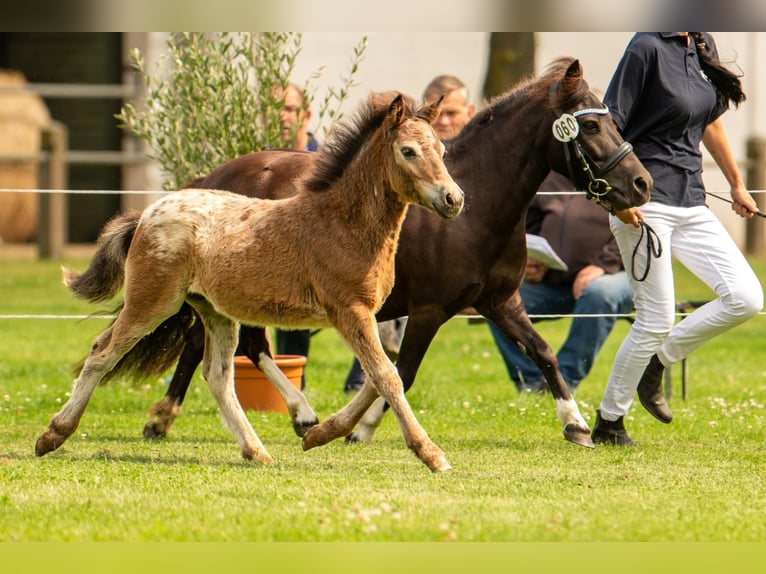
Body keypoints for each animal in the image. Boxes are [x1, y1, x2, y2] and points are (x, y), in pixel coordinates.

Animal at [36, 93, 464, 472]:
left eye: (442, 149)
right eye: (408, 151)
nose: (453, 198)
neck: (343, 222)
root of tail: (147, 213)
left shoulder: (369, 315)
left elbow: (382, 373)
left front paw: (319, 433)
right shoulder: (350, 312)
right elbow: (387, 376)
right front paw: (431, 454)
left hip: (215, 312)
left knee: (218, 375)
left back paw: (255, 450)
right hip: (153, 302)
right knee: (102, 351)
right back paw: (53, 435)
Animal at [150, 57, 656, 454]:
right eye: (590, 125)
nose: (641, 184)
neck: (476, 208)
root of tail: (208, 180)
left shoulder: (499, 302)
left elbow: (543, 352)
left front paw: (577, 425)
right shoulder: (429, 309)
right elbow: (402, 371)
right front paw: (361, 430)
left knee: (222, 345)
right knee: (229, 347)